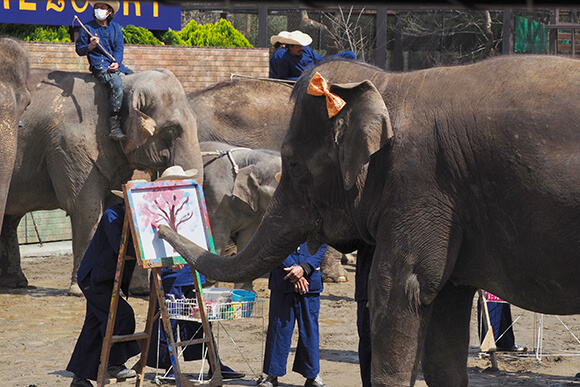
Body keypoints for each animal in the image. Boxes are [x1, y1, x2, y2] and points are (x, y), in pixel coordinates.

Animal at [1, 68, 203, 296]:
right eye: (171, 130)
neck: (125, 84)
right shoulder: (70, 146)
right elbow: (85, 208)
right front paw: (80, 290)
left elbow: (112, 206)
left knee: (11, 216)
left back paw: (16, 283)